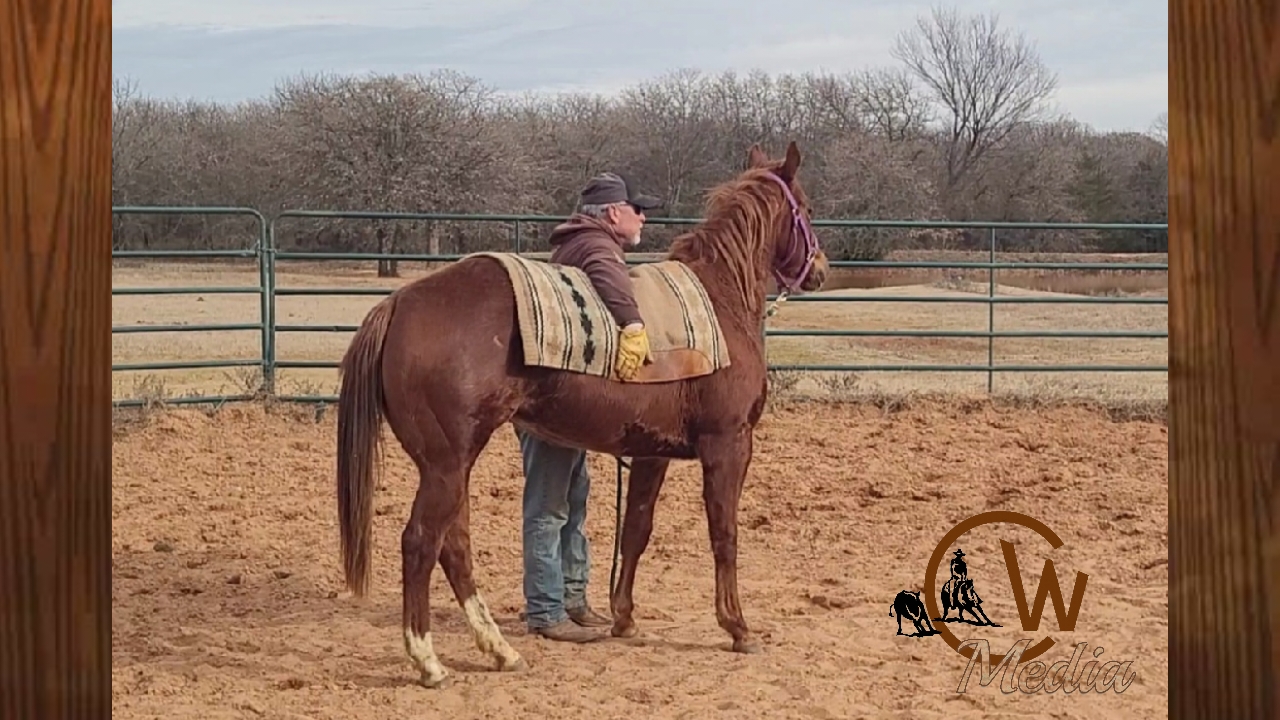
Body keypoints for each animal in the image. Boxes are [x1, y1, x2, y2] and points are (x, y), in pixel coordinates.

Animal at [334, 140, 830, 688]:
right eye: (806, 209)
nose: (821, 268)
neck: (719, 299)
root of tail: (399, 304)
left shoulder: (651, 453)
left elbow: (635, 531)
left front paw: (624, 618)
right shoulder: (729, 445)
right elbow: (724, 535)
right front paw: (738, 628)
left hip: (450, 466)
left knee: (453, 545)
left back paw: (500, 650)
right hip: (445, 465)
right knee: (422, 542)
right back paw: (428, 660)